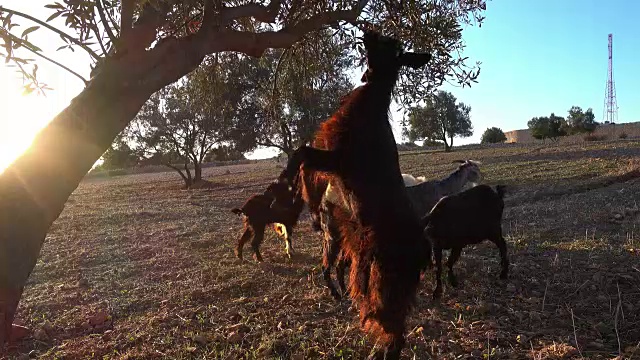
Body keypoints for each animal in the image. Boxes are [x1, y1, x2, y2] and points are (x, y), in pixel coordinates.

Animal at [280, 31, 430, 360]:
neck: (369, 107)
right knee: (394, 326)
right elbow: (305, 161)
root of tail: (422, 250)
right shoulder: (332, 163)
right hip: (378, 273)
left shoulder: (337, 159)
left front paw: (286, 182)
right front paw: (305, 200)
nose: (368, 31)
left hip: (381, 277)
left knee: (390, 327)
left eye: (389, 45)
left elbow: (301, 154)